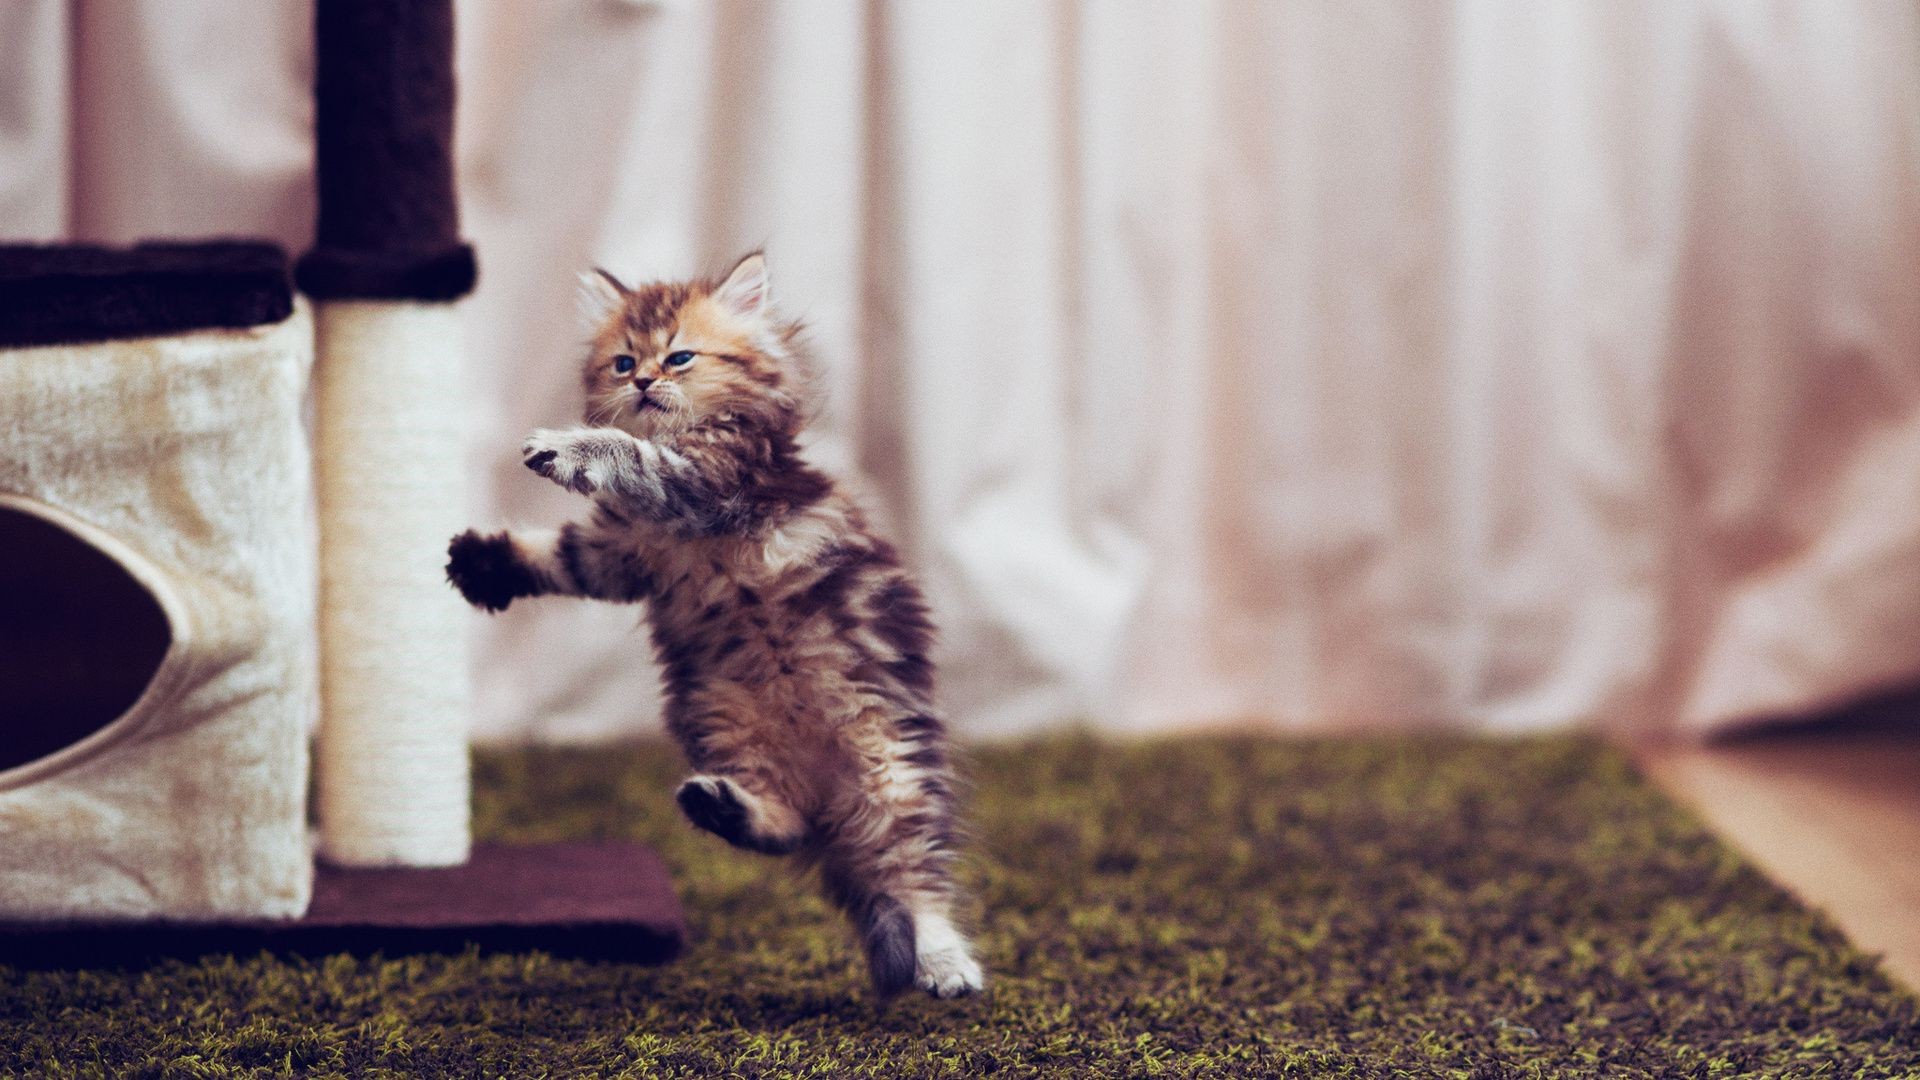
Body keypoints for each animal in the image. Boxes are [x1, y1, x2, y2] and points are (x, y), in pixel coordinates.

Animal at [449, 249, 983, 991]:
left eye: (679, 357)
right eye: (623, 362)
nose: (645, 380)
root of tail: (829, 793)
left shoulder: (707, 485)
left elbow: (630, 454)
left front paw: (565, 446)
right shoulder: (618, 555)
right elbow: (557, 554)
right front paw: (483, 562)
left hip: (893, 768)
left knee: (913, 876)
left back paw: (943, 963)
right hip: (720, 719)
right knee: (787, 827)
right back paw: (722, 806)